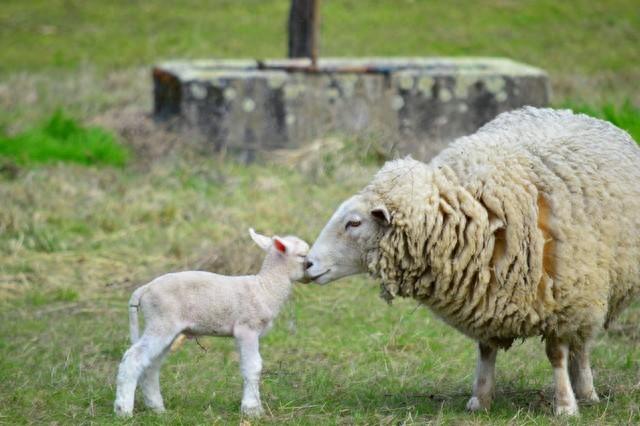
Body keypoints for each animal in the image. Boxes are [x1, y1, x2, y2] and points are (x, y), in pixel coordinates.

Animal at [114, 228, 308, 418]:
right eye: (302, 255)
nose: (311, 270)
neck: (266, 287)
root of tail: (144, 289)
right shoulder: (247, 328)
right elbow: (253, 366)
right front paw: (252, 410)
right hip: (161, 321)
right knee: (134, 358)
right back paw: (123, 410)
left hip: (165, 326)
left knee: (151, 365)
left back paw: (157, 408)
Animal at [304, 107, 640, 416]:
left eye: (354, 223)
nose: (307, 263)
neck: (475, 212)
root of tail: (571, 111)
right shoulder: (485, 295)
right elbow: (485, 350)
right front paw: (480, 399)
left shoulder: (561, 300)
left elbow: (556, 353)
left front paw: (565, 406)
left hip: (591, 290)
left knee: (581, 346)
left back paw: (586, 392)